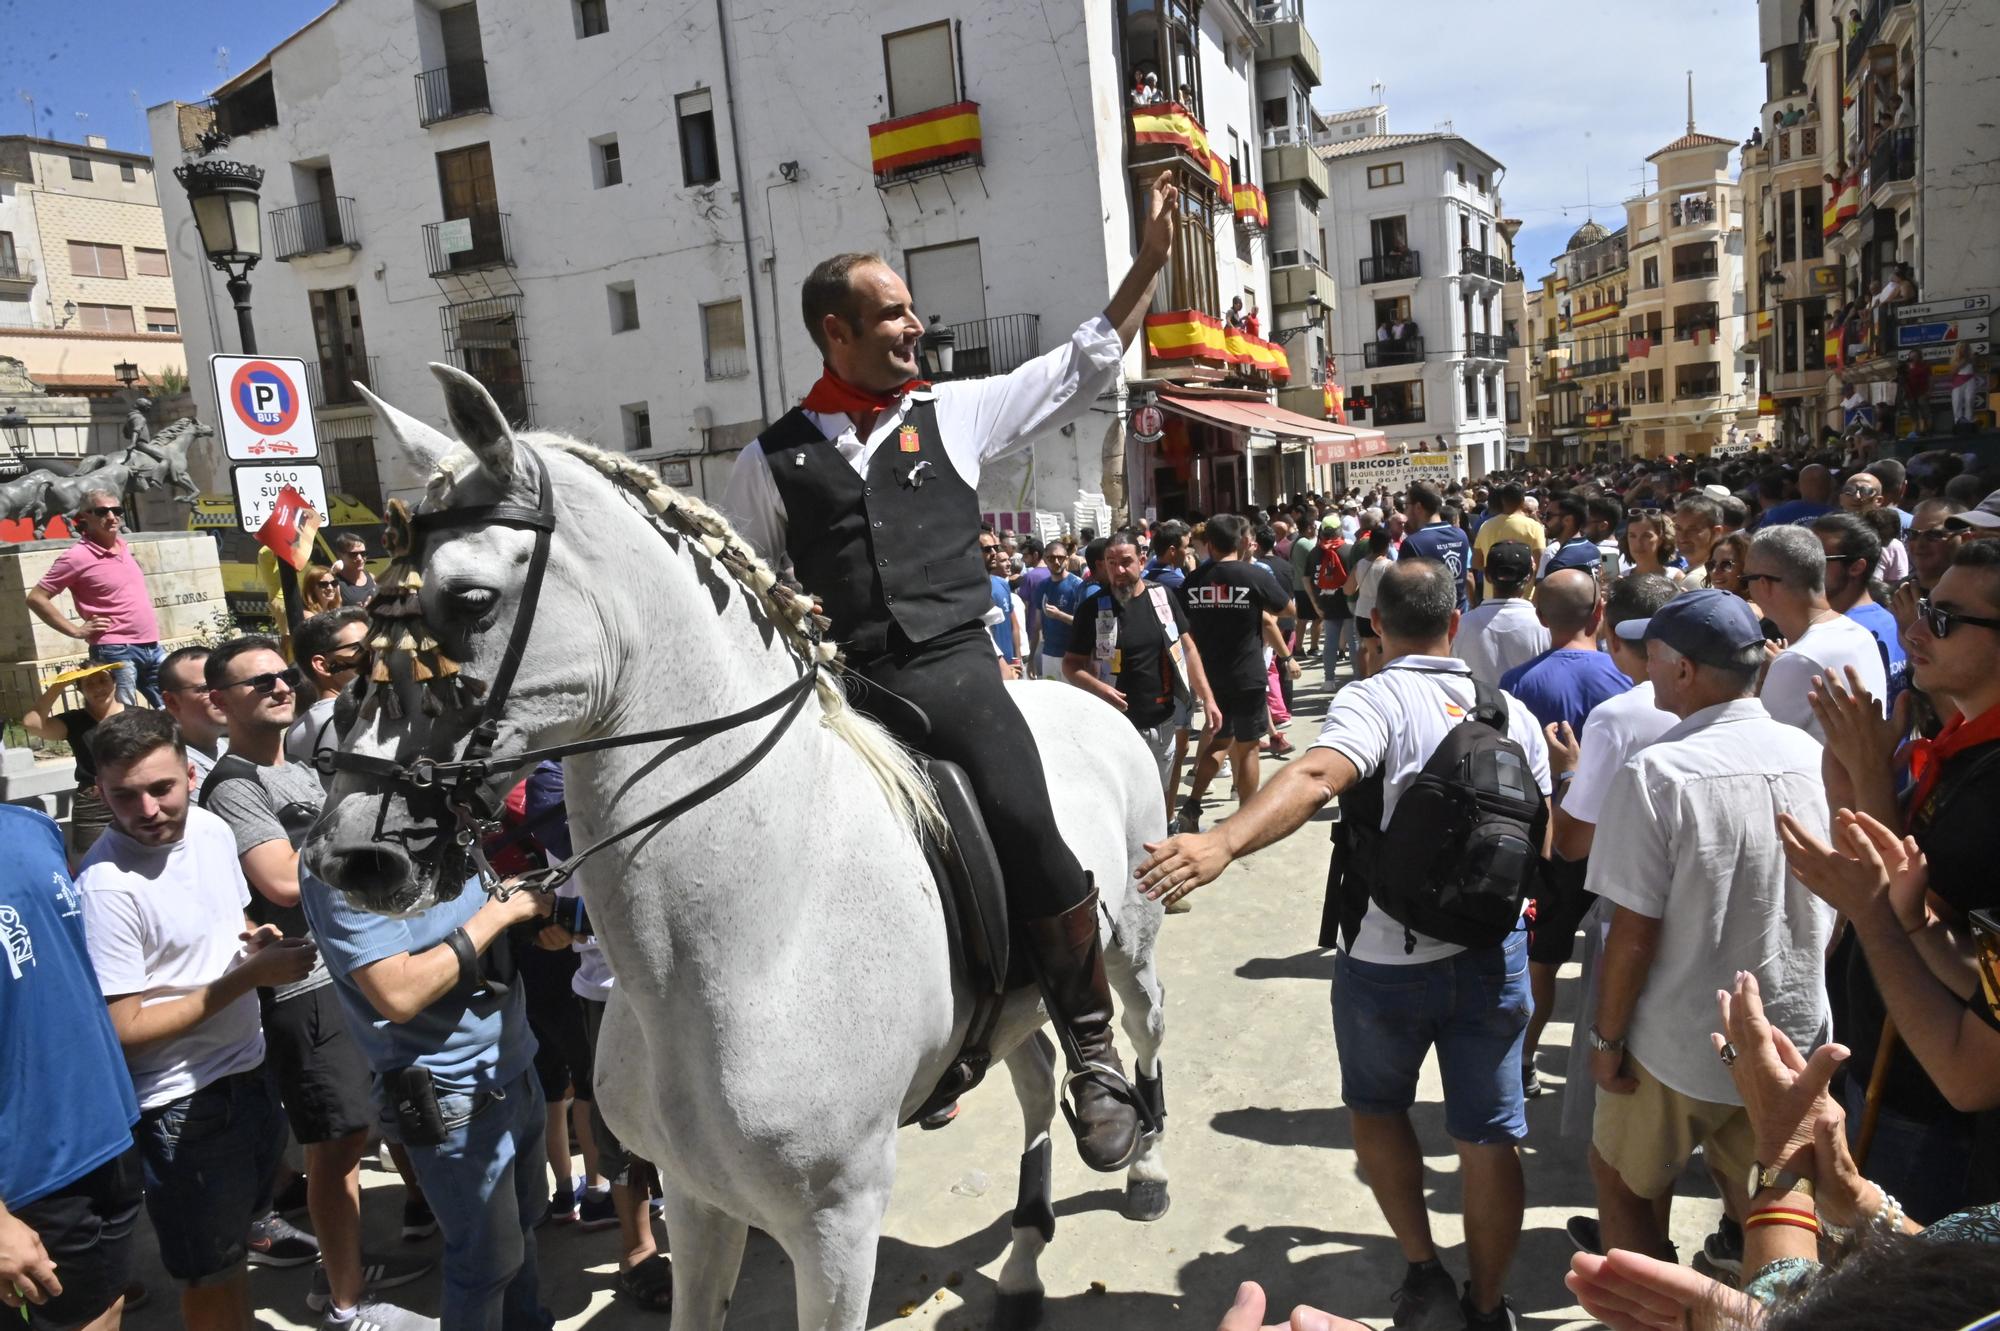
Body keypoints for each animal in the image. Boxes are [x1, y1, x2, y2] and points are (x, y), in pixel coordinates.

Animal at [302, 363, 1168, 1327]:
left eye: (470, 598)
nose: (349, 858)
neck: (748, 941)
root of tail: (1090, 696)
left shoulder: (836, 1226)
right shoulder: (695, 1195)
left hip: (1128, 938)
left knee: (1140, 1022)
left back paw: (1138, 1156)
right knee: (1034, 1073)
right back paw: (1021, 1265)